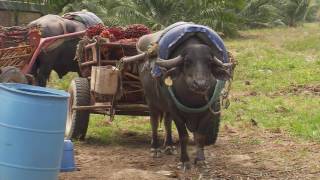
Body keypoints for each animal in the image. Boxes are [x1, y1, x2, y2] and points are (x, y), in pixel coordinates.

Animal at [136, 25, 231, 172]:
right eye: (187, 62)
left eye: (209, 62)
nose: (200, 84)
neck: (193, 99)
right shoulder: (176, 111)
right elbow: (184, 136)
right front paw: (184, 161)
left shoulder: (208, 111)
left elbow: (200, 136)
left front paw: (201, 160)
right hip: (151, 101)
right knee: (154, 123)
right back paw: (155, 149)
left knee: (167, 122)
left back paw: (169, 146)